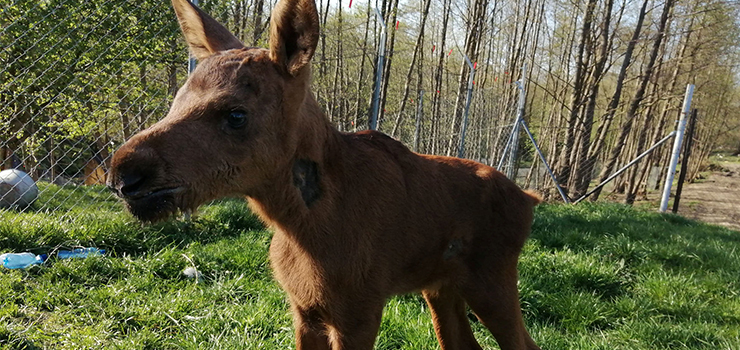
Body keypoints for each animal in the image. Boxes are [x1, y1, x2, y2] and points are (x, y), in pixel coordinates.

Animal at [104, 0, 540, 350]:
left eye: (236, 114)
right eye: (177, 100)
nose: (123, 175)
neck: (300, 225)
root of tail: (531, 199)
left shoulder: (359, 311)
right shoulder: (305, 311)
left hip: (492, 282)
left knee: (522, 343)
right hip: (442, 288)